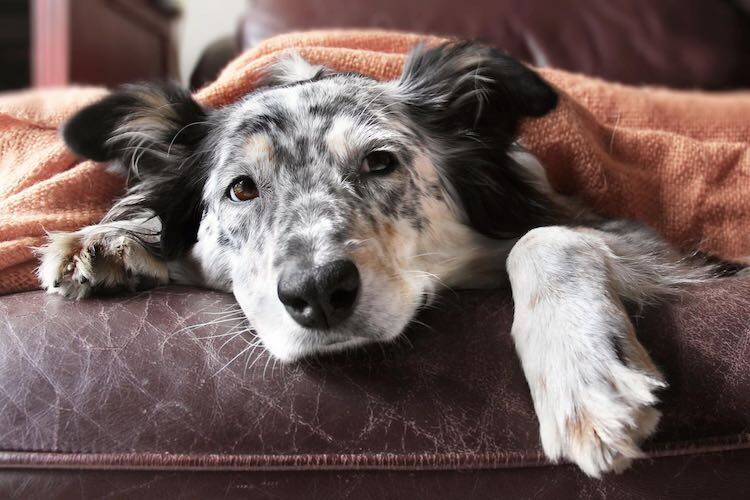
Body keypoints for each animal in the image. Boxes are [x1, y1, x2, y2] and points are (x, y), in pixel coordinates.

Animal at [35, 42, 724, 476]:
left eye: (380, 162)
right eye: (242, 190)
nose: (317, 291)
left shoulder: (638, 238)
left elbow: (546, 237)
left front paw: (584, 376)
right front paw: (110, 239)